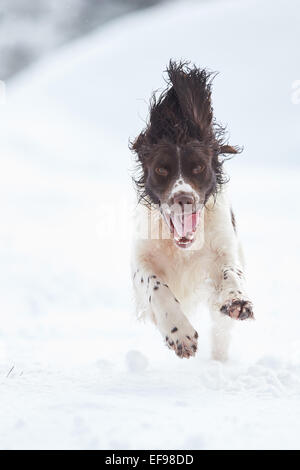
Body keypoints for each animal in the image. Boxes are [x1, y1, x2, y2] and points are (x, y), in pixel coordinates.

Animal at [131, 59, 253, 360]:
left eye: (198, 167)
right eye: (162, 170)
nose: (183, 197)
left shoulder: (224, 246)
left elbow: (230, 272)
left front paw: (237, 300)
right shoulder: (140, 258)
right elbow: (155, 285)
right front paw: (180, 334)